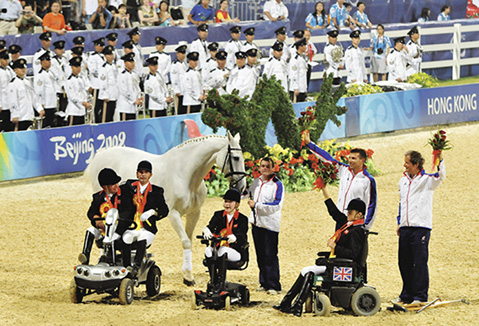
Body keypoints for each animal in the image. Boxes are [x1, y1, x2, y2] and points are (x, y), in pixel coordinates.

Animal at [85, 131, 248, 284]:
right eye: (235, 158)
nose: (242, 187)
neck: (185, 174)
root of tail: (100, 154)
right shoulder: (173, 214)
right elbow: (185, 241)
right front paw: (188, 277)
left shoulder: (194, 213)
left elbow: (188, 240)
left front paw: (187, 276)